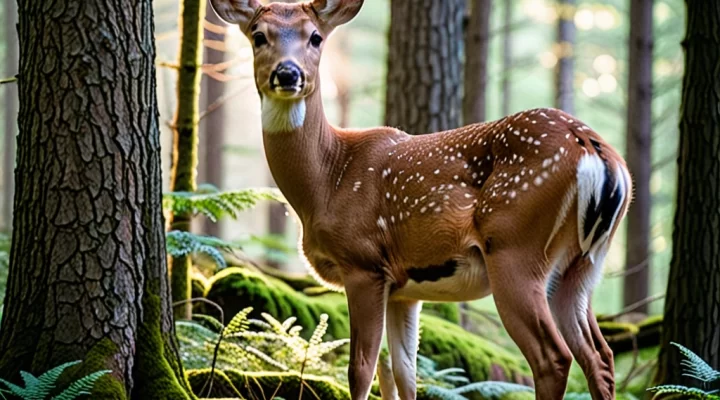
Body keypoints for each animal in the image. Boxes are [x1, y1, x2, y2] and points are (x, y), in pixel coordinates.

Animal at [208, 0, 632, 400]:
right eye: (258, 35)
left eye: (315, 36)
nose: (288, 73)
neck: (327, 180)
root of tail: (598, 154)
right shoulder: (404, 290)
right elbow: (403, 374)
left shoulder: (364, 263)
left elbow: (360, 370)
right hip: (583, 264)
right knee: (600, 356)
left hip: (517, 247)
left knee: (553, 358)